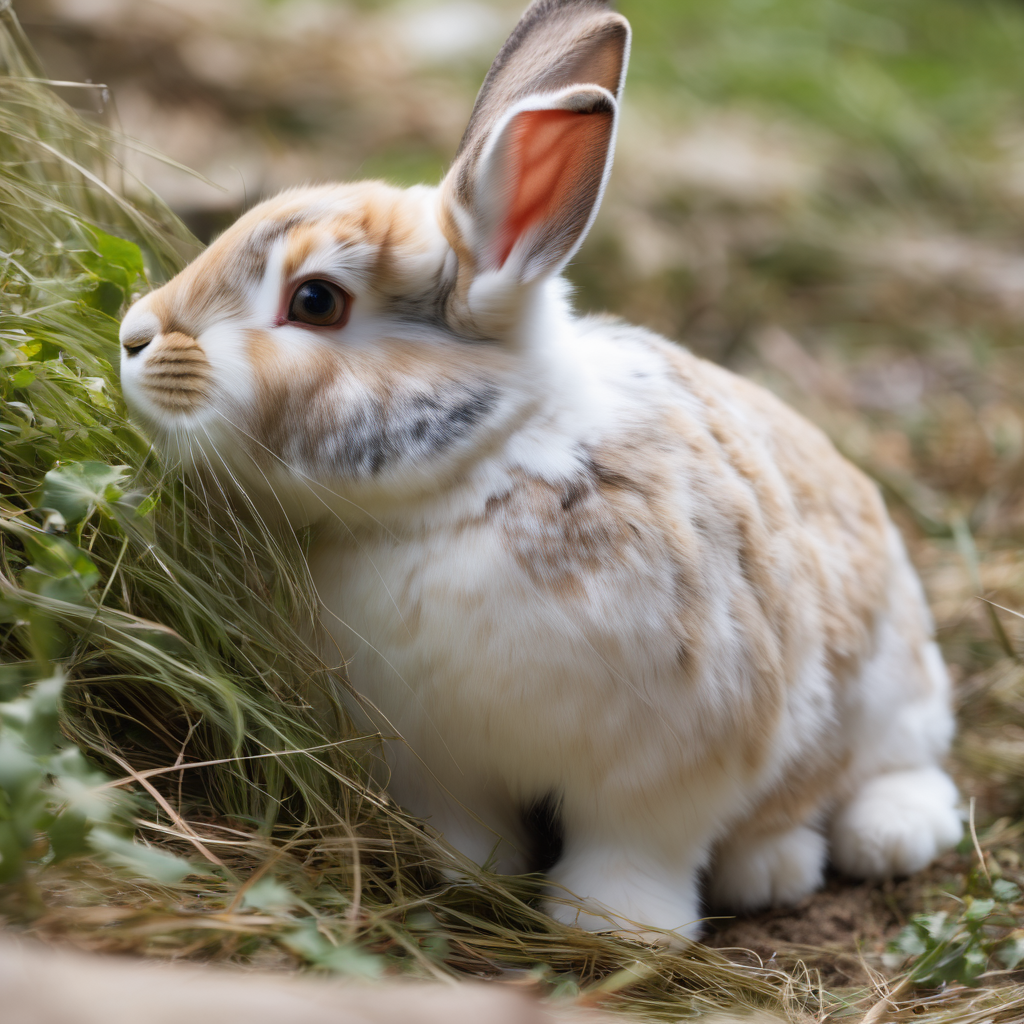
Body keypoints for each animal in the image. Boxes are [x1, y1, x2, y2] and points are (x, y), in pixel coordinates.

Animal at [119, 0, 958, 937]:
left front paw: (613, 927)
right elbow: (464, 826)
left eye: (314, 301)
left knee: (898, 771)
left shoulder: (668, 762)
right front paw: (461, 878)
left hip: (892, 690)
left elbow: (637, 849)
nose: (133, 336)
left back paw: (841, 848)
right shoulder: (432, 756)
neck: (462, 489)